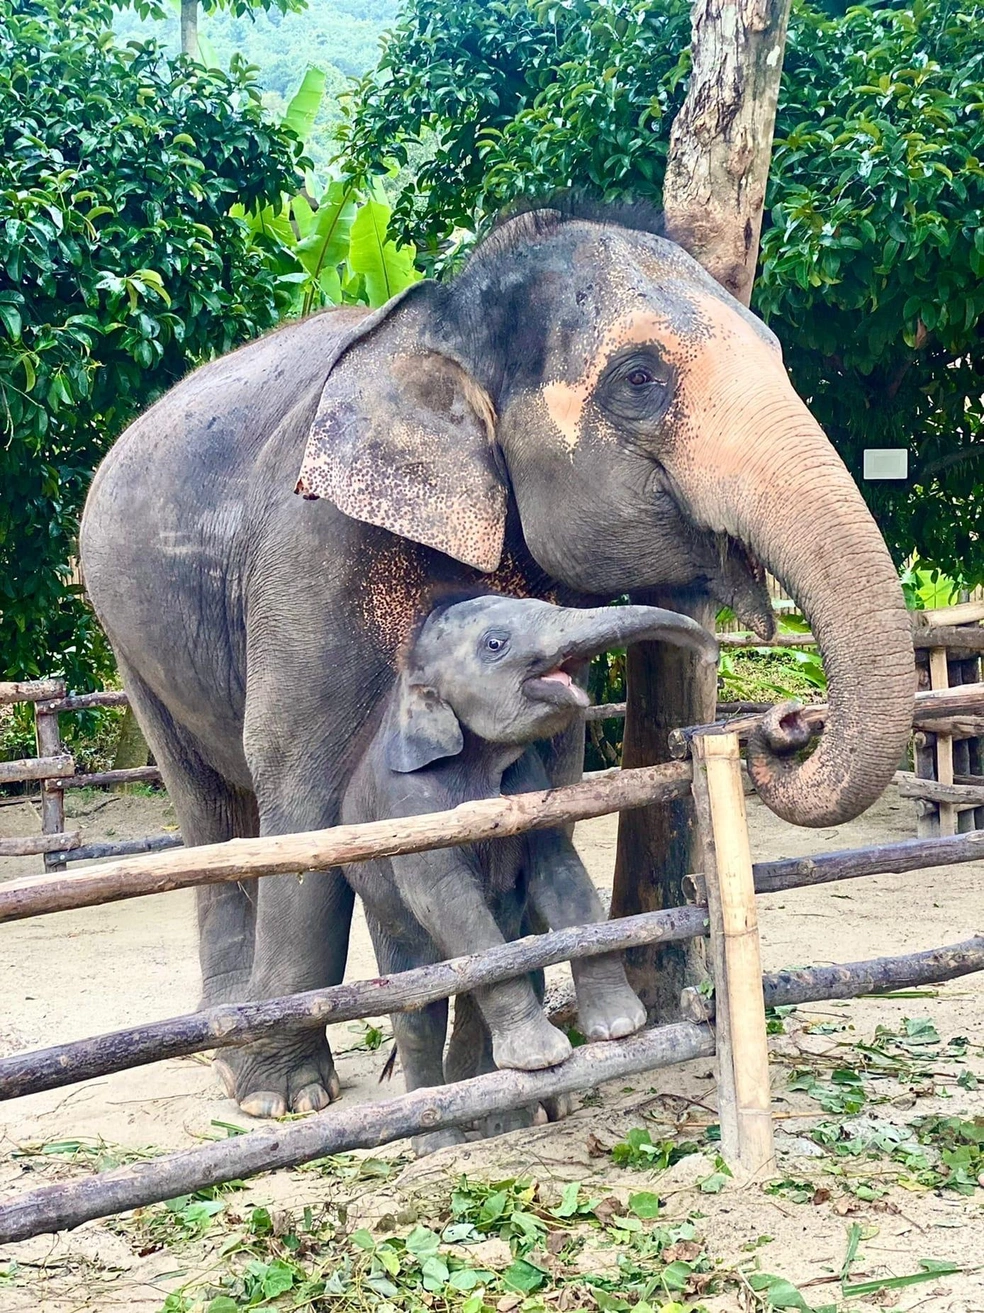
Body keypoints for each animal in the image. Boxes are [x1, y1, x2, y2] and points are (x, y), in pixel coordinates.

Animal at [341, 593, 719, 1150]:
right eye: (495, 644)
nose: (712, 652)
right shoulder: (406, 805)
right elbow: (449, 902)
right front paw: (544, 1057)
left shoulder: (531, 782)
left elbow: (559, 870)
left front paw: (621, 1028)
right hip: (383, 918)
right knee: (418, 1010)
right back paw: (441, 1141)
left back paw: (510, 1119)